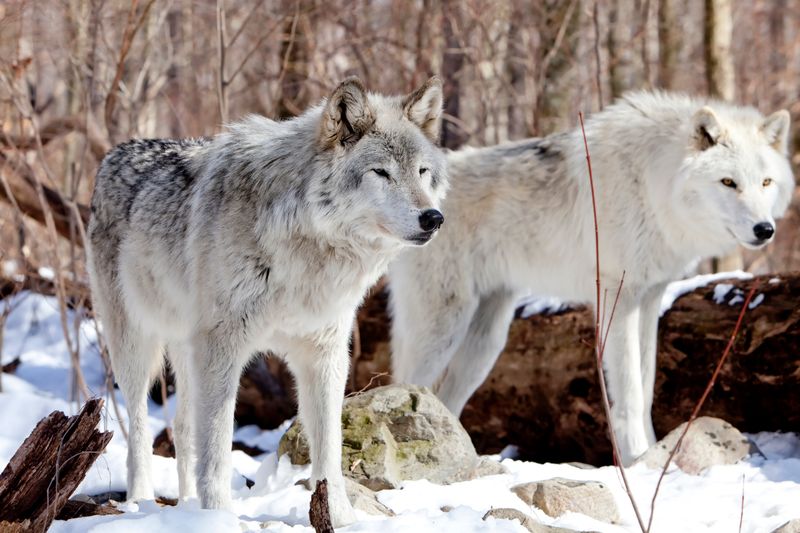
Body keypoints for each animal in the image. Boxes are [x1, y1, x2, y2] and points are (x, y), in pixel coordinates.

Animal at [89, 77, 450, 524]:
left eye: (422, 172)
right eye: (380, 173)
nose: (433, 218)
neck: (308, 247)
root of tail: (116, 151)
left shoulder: (324, 355)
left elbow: (329, 449)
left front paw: (340, 517)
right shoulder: (222, 347)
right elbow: (218, 449)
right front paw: (218, 519)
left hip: (188, 351)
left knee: (182, 428)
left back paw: (186, 506)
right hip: (136, 345)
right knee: (139, 427)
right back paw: (140, 502)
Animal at [390, 92, 792, 466]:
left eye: (766, 182)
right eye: (728, 182)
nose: (765, 230)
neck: (652, 181)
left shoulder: (650, 297)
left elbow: (645, 388)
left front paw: (651, 453)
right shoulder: (619, 296)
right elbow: (629, 393)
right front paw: (636, 459)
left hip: (486, 342)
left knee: (447, 399)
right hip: (443, 327)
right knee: (404, 384)